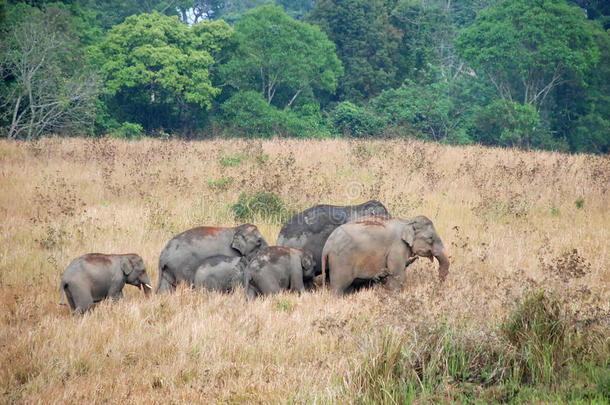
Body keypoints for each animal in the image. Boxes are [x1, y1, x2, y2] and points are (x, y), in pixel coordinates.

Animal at [320, 216, 448, 296]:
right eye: (430, 238)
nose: (438, 285)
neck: (407, 221)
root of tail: (327, 246)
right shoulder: (397, 247)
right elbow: (397, 273)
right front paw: (395, 295)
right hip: (341, 261)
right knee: (340, 286)